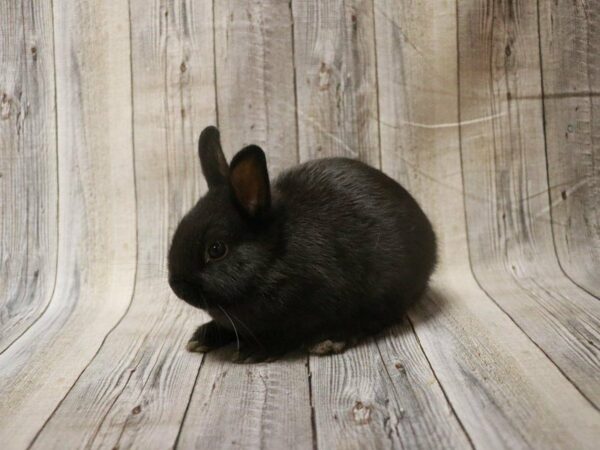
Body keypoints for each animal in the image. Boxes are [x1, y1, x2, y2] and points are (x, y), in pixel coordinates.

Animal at [168, 126, 437, 362]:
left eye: (216, 249)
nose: (176, 287)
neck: (274, 257)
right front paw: (202, 337)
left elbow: (286, 334)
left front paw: (253, 351)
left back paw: (329, 341)